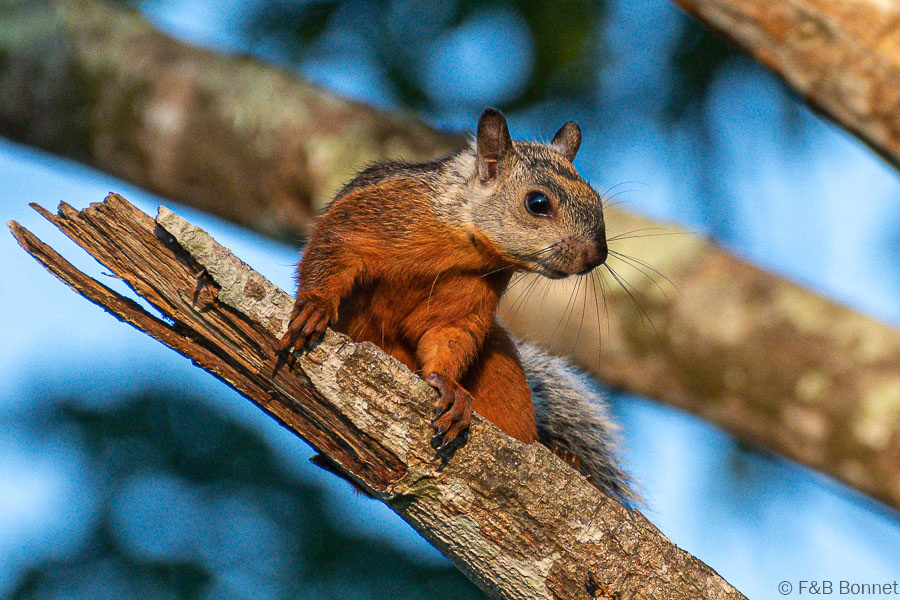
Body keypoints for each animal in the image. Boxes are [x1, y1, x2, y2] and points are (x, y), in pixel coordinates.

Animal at [278, 107, 637, 505]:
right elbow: (332, 249)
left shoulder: (469, 299)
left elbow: (449, 335)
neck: (462, 242)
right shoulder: (372, 214)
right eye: (538, 203)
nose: (597, 255)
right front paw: (315, 306)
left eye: (596, 200)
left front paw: (449, 386)